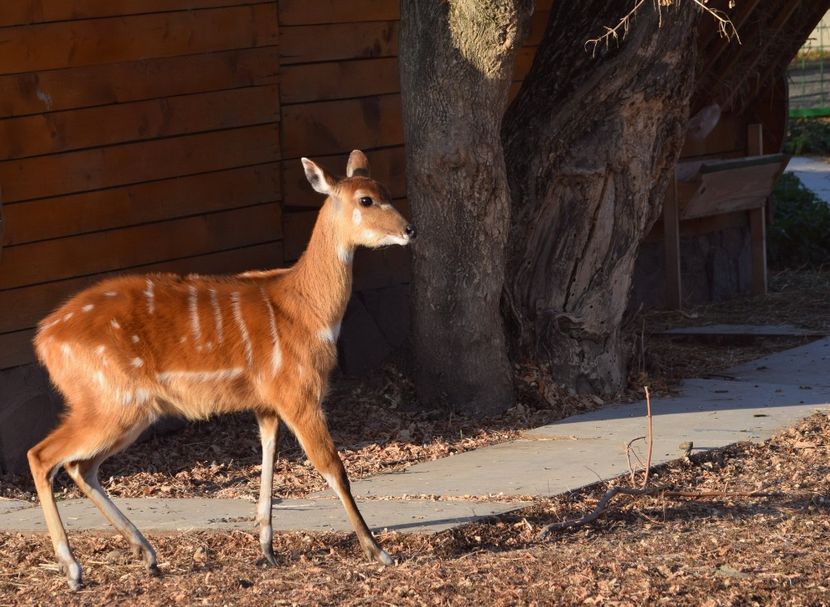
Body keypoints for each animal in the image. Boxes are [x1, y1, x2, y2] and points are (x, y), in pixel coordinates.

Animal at [27, 150, 416, 592]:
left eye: (386, 190)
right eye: (366, 200)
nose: (409, 229)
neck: (308, 310)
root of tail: (44, 339)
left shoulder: (267, 403)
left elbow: (268, 460)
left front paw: (267, 550)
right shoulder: (298, 392)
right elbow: (333, 467)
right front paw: (378, 551)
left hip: (124, 408)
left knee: (81, 465)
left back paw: (147, 556)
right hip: (110, 399)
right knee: (42, 455)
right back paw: (73, 569)